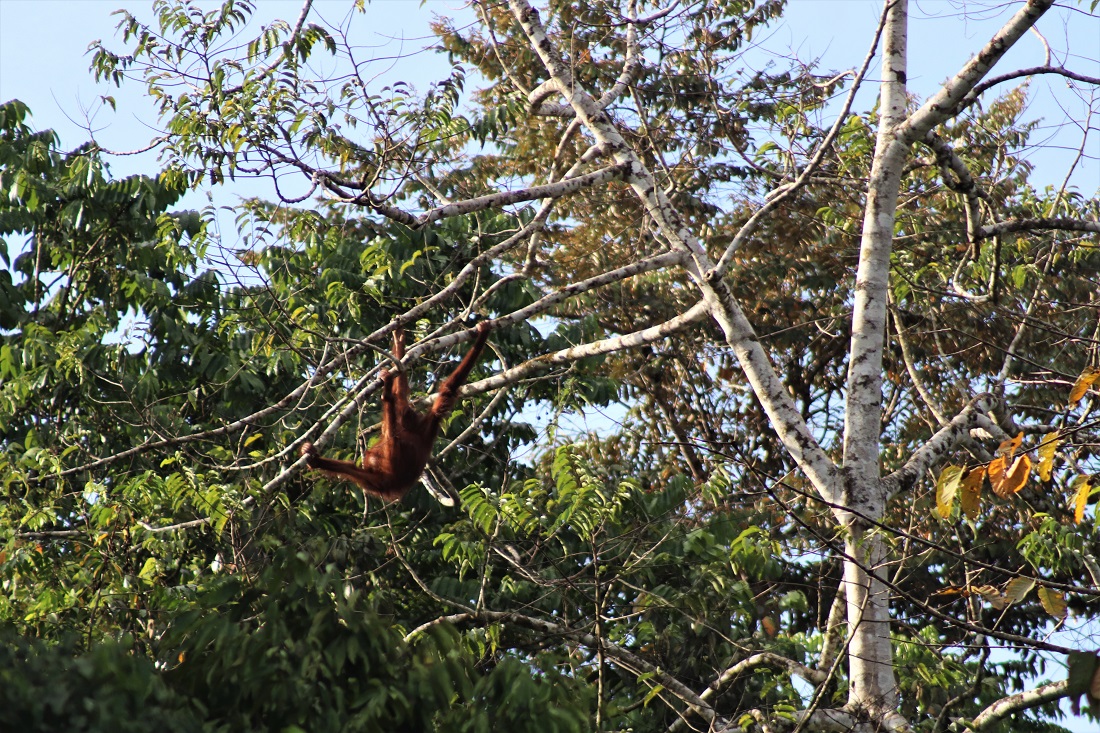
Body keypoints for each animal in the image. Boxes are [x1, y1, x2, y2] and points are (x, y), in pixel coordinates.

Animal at [300, 321, 492, 502]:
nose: (407, 417)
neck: (414, 429)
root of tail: (389, 483)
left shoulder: (426, 422)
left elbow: (448, 390)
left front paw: (482, 336)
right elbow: (403, 391)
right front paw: (399, 341)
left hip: (388, 463)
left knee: (391, 438)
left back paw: (387, 396)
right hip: (376, 478)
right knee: (356, 468)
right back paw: (316, 461)